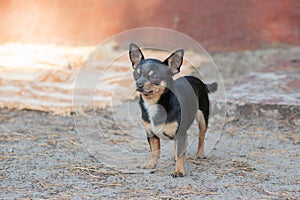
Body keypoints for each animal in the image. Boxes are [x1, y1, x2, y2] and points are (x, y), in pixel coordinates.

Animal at [129, 43, 218, 177]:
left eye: (154, 76)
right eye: (136, 74)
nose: (139, 83)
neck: (153, 103)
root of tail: (200, 81)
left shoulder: (181, 134)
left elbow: (181, 153)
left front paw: (179, 171)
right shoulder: (151, 134)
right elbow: (155, 151)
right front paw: (152, 164)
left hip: (203, 117)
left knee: (201, 135)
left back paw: (200, 153)